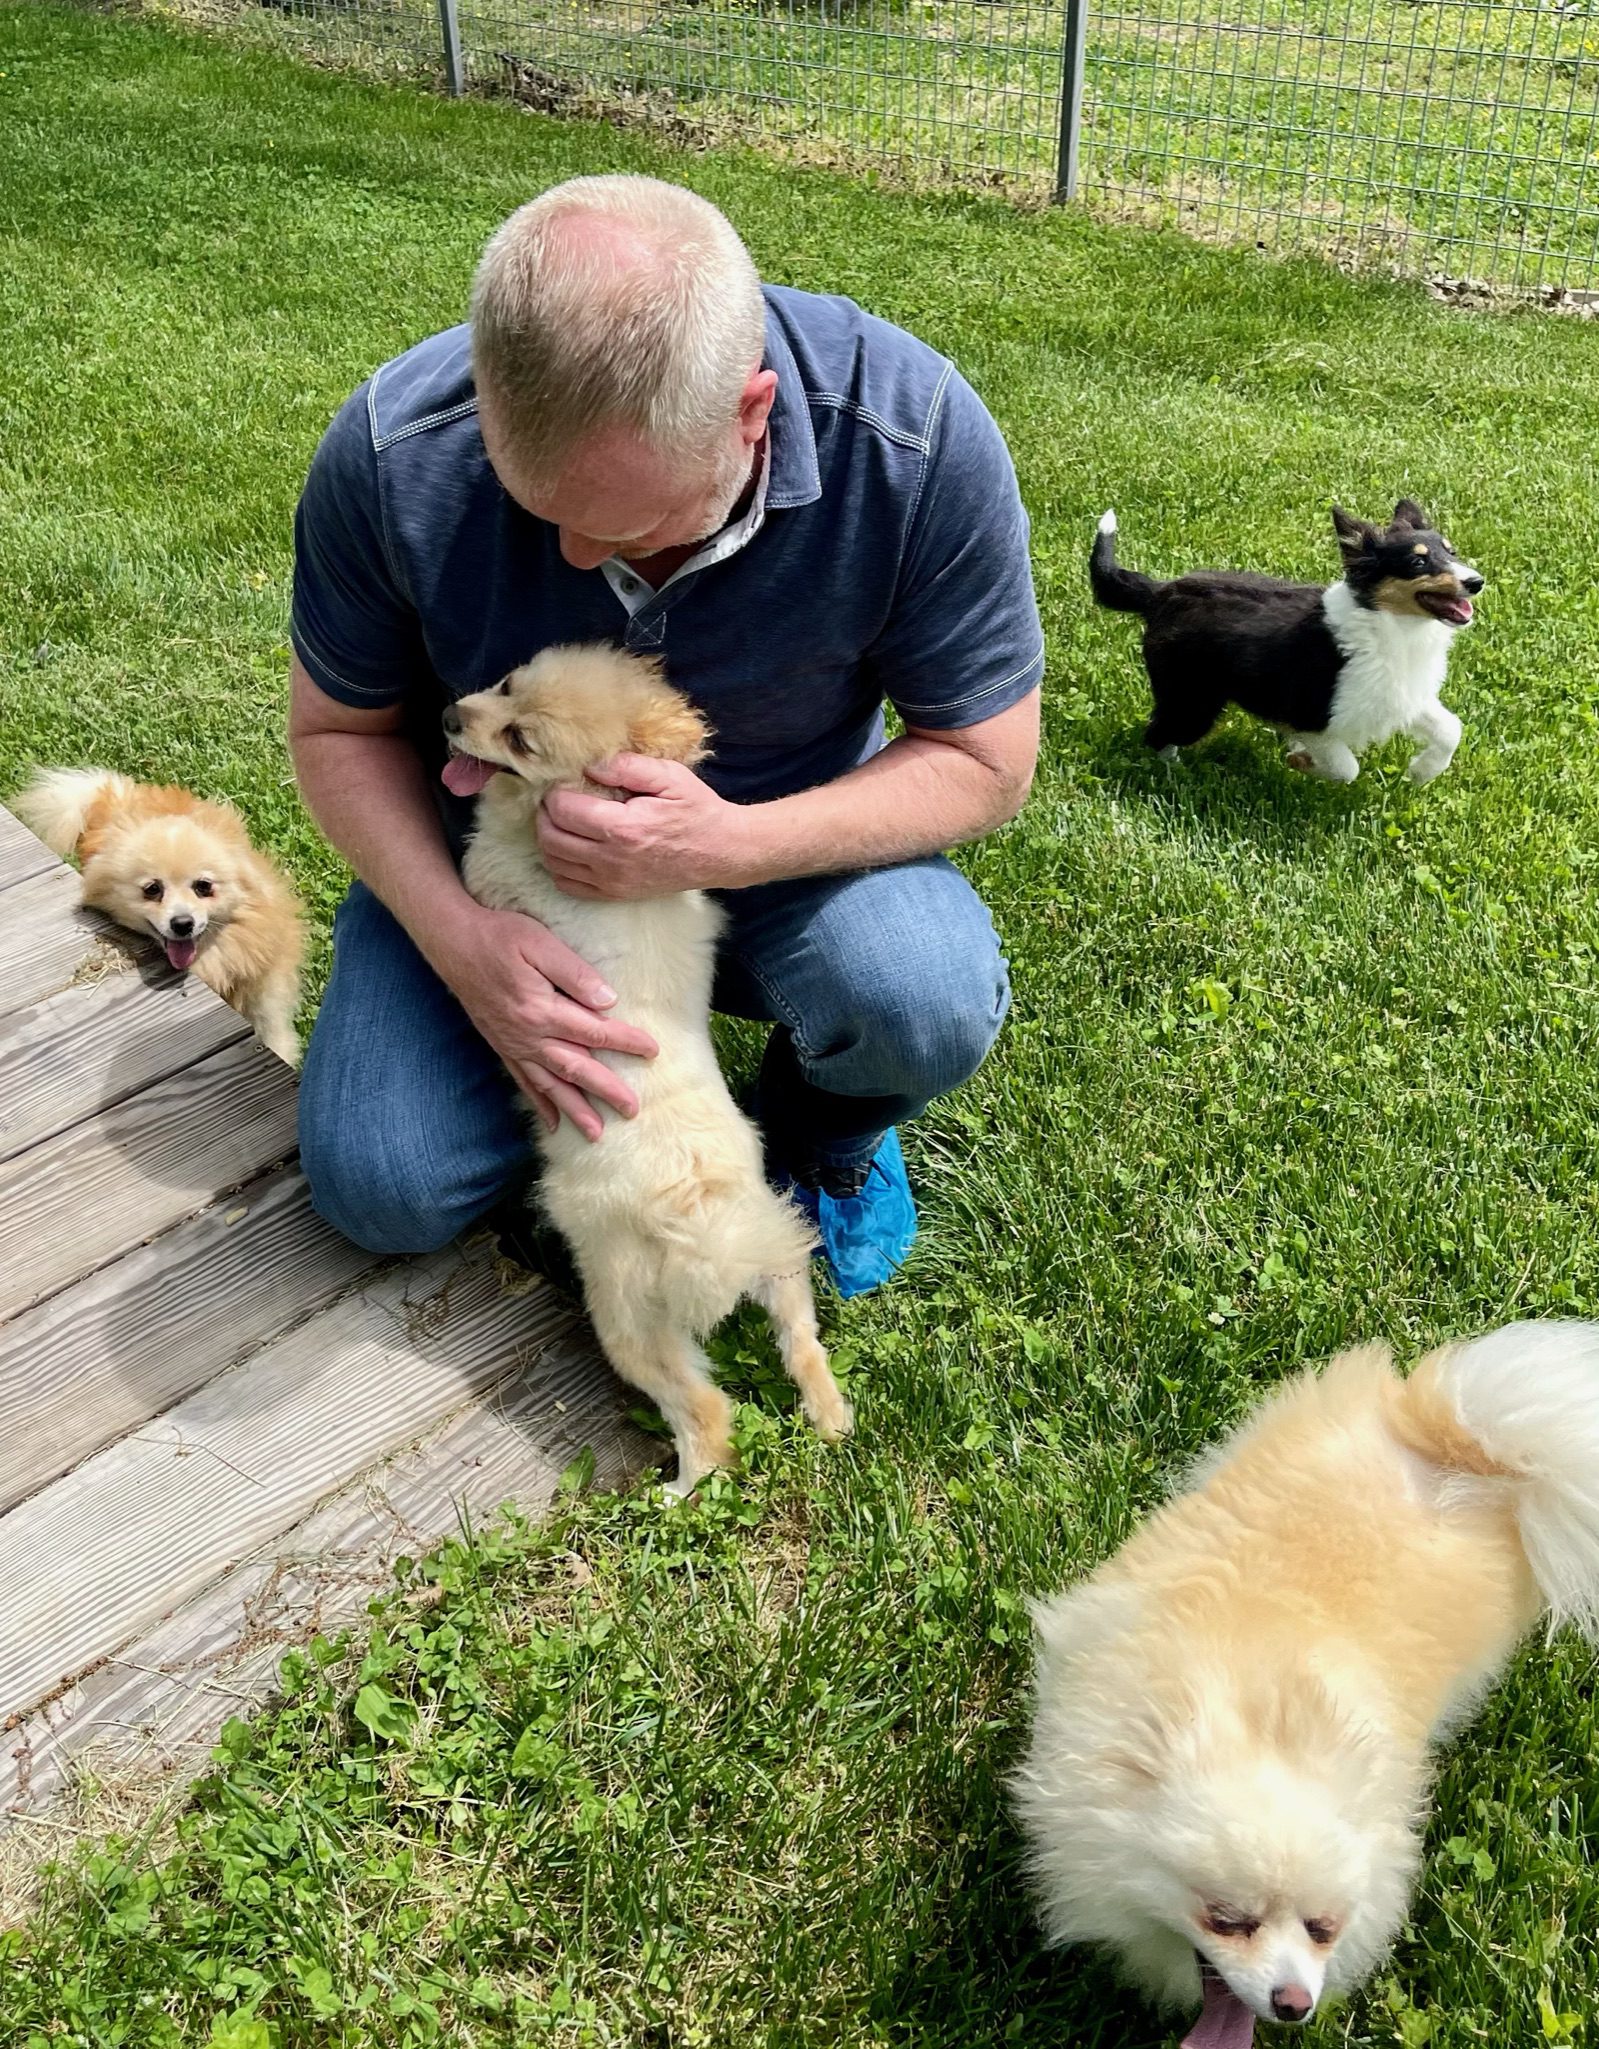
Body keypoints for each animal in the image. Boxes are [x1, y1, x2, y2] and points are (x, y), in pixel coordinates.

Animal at [442, 647, 856, 1499]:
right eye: (505, 684)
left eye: (521, 739)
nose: (448, 716)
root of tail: (698, 1209)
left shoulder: (489, 881)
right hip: (778, 1247)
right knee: (801, 1341)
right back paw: (830, 1417)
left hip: (625, 1313)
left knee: (706, 1411)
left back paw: (681, 1493)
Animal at [1090, 499, 1484, 778]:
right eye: (1417, 563)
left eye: (1451, 551)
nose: (1477, 582)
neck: (1393, 625)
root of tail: (1161, 592)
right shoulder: (1313, 715)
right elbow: (1346, 768)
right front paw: (1302, 760)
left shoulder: (1399, 696)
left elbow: (1451, 729)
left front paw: (1421, 773)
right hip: (1192, 701)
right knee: (1158, 735)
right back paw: (1172, 775)